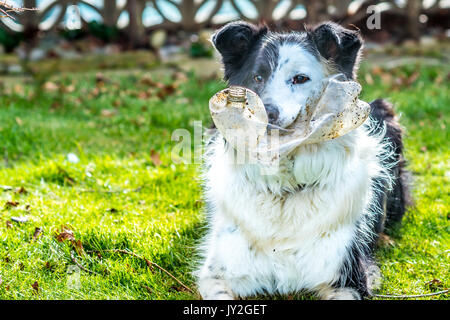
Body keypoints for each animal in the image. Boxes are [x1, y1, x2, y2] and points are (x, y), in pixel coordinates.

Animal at [195, 21, 410, 298]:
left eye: (300, 79)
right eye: (257, 78)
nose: (266, 114)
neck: (284, 192)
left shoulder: (348, 276)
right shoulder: (216, 275)